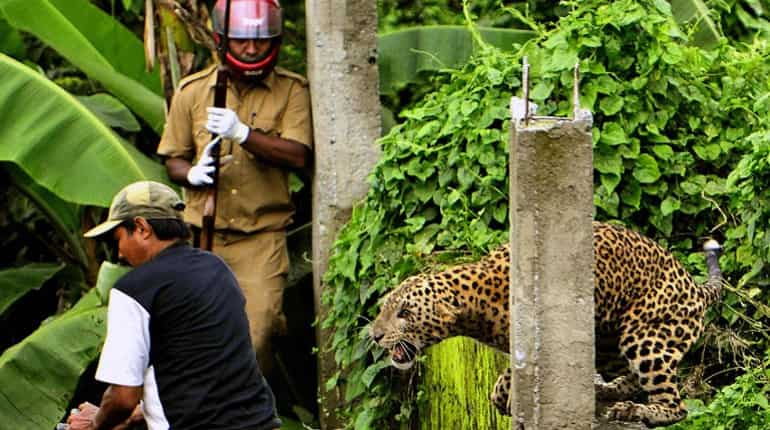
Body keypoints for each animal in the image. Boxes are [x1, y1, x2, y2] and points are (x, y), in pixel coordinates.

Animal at [370, 221, 723, 427]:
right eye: (384, 307)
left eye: (405, 313)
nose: (375, 335)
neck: (474, 304)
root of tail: (696, 287)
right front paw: (503, 396)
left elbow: (518, 371)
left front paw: (508, 396)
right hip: (610, 339)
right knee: (631, 377)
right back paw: (607, 391)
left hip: (643, 336)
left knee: (675, 405)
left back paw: (639, 411)